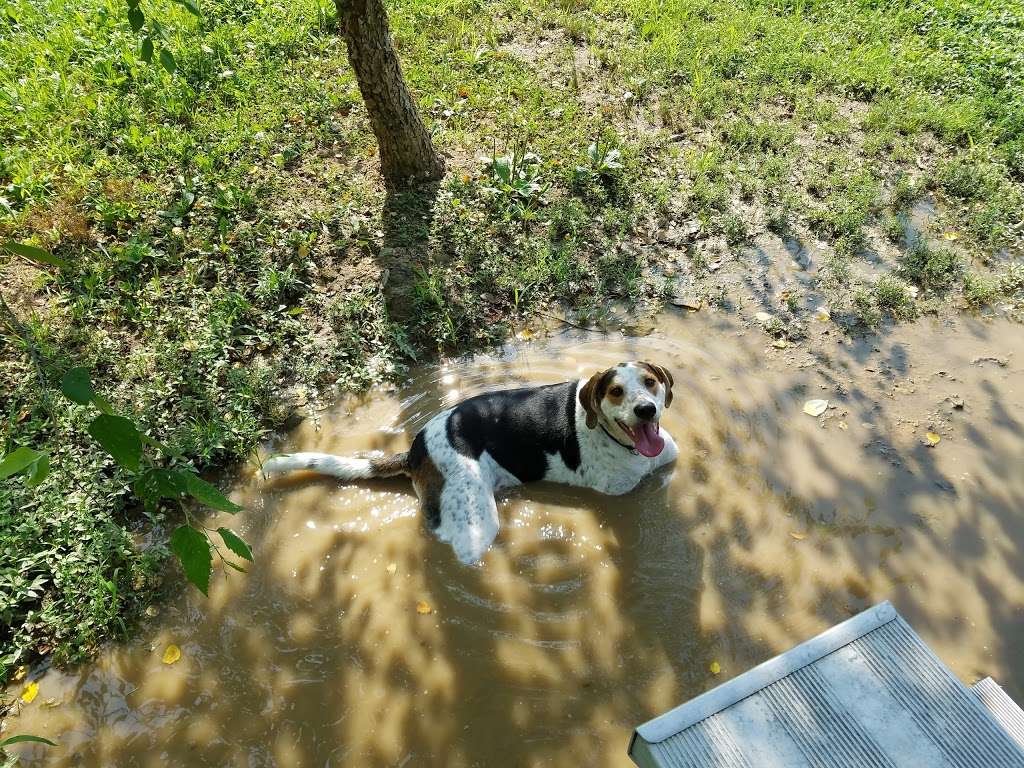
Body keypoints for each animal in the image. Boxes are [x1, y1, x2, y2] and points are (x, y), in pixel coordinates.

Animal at [262, 360, 679, 565]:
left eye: (650, 382)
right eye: (615, 391)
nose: (646, 410)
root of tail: (416, 447)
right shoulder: (617, 493)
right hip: (476, 521)